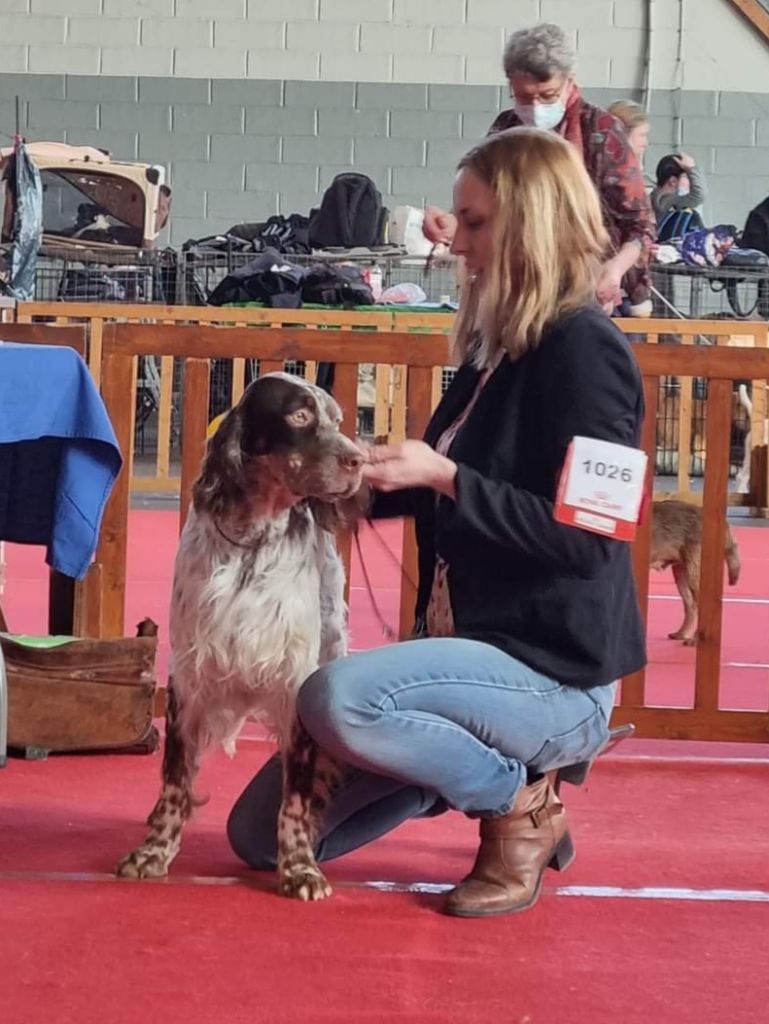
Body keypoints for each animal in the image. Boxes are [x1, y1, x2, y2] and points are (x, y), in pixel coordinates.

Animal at [651, 499, 741, 643]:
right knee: (690, 606)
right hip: (681, 574)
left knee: (701, 606)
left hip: (693, 573)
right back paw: (682, 633)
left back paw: (696, 638)